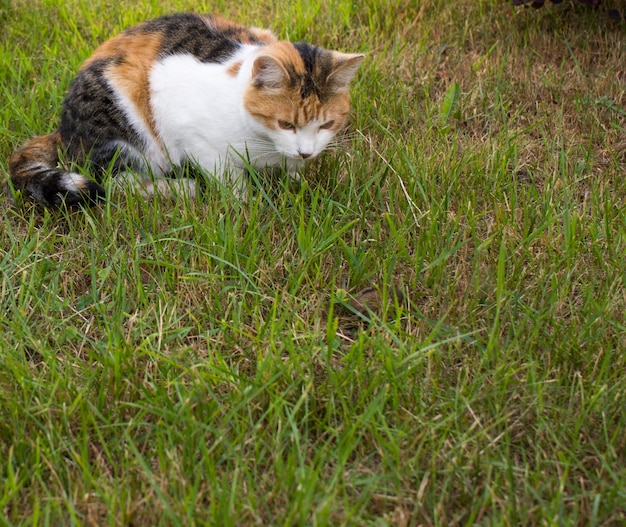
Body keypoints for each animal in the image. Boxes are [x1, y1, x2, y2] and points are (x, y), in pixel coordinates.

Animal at [7, 12, 364, 206]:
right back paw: (182, 188)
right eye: (286, 124)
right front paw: (244, 203)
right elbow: (226, 175)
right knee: (119, 182)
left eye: (326, 124)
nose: (306, 152)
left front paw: (295, 180)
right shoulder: (185, 123)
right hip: (125, 130)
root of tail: (62, 130)